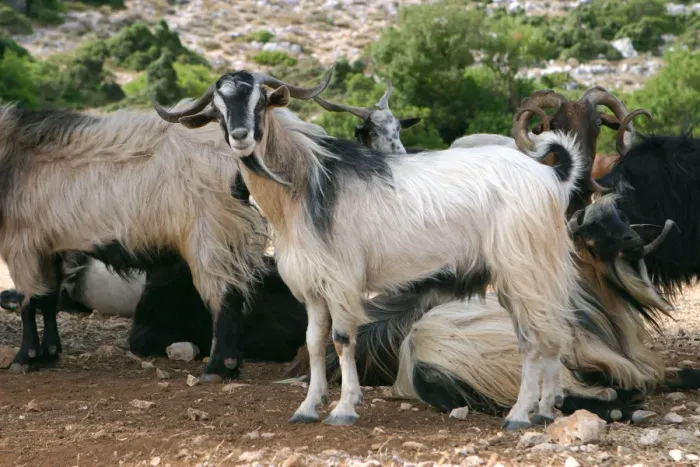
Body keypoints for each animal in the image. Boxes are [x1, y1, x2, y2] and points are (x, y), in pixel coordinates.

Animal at [153, 67, 588, 431]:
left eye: (261, 100)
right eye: (218, 109)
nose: (241, 137)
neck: (305, 185)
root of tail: (550, 176)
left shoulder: (342, 279)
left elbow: (343, 339)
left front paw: (345, 408)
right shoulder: (312, 284)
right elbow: (314, 341)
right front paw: (307, 407)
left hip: (522, 266)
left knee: (532, 336)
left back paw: (519, 415)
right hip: (533, 271)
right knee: (551, 329)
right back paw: (546, 409)